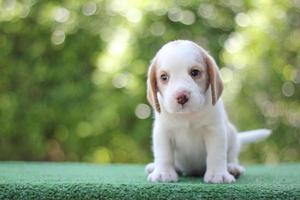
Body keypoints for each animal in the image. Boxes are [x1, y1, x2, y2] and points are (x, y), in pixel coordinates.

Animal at [144, 39, 270, 184]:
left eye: (195, 72)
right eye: (164, 77)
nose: (181, 97)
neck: (188, 116)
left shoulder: (215, 130)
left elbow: (216, 154)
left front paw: (218, 175)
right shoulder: (163, 132)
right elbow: (164, 154)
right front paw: (163, 173)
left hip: (232, 136)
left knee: (232, 156)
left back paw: (233, 168)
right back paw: (154, 167)